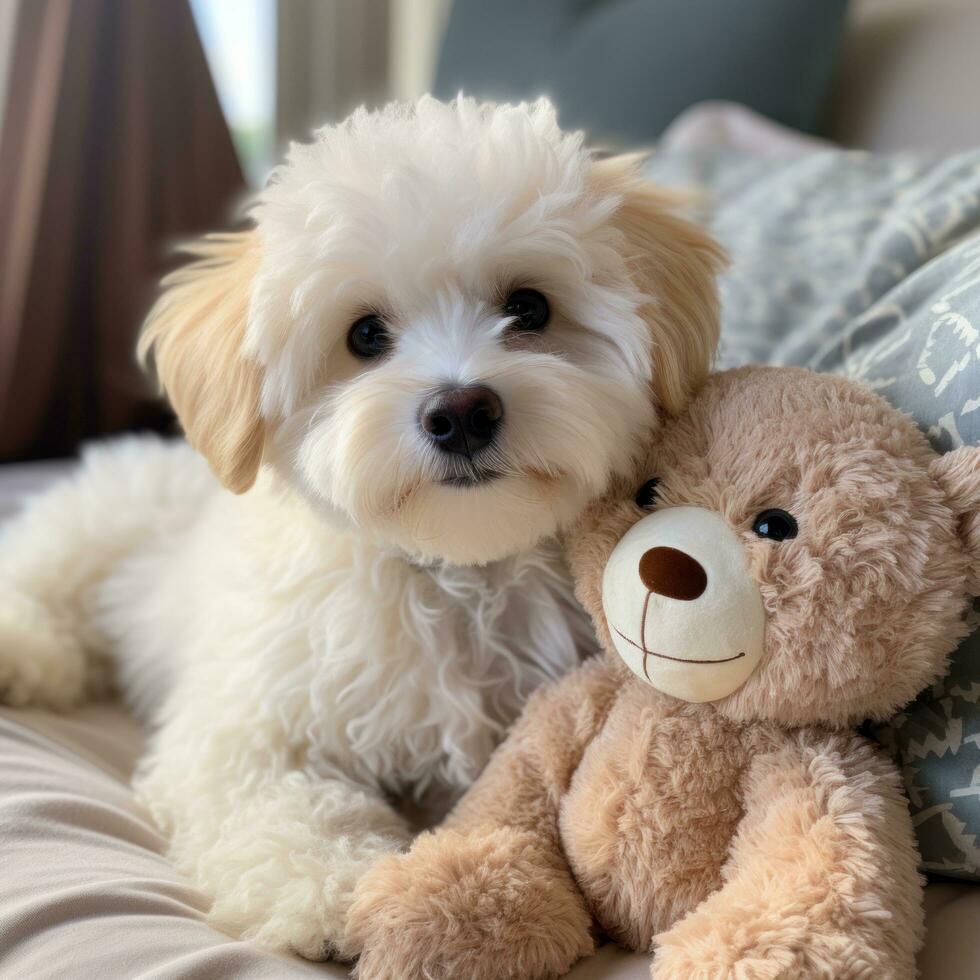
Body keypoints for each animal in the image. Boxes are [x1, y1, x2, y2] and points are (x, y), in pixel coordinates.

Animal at [0, 97, 720, 956]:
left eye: (529, 308)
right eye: (366, 335)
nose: (461, 411)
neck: (458, 571)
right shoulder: (243, 726)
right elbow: (275, 799)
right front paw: (330, 888)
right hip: (99, 520)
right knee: (39, 574)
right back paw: (25, 652)